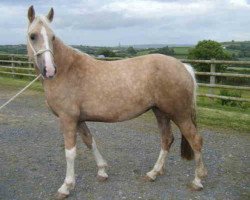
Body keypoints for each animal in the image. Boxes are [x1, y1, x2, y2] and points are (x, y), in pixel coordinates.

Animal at [26, 5, 207, 198]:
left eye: (52, 37)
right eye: (33, 36)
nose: (49, 70)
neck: (67, 70)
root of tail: (184, 67)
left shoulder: (68, 119)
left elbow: (70, 152)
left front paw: (66, 186)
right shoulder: (79, 119)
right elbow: (90, 141)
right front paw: (102, 171)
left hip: (180, 114)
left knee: (195, 140)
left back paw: (197, 181)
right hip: (161, 112)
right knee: (167, 139)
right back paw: (153, 173)